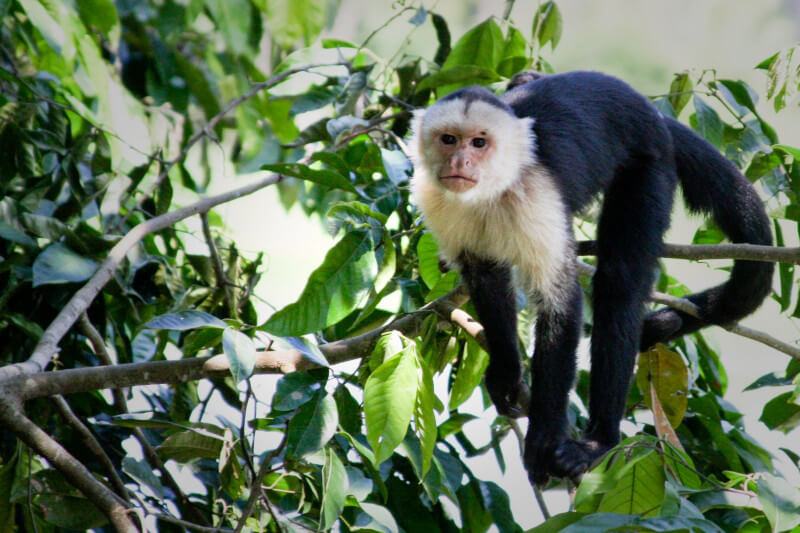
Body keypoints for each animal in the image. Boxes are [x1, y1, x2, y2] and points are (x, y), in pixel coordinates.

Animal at [410, 71, 772, 486]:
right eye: (448, 139)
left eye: (479, 142)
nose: (461, 160)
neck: (491, 190)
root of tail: (648, 110)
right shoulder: (438, 202)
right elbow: (486, 277)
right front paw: (507, 375)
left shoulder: (535, 197)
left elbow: (561, 303)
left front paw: (543, 438)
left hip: (650, 164)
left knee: (619, 284)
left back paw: (599, 441)